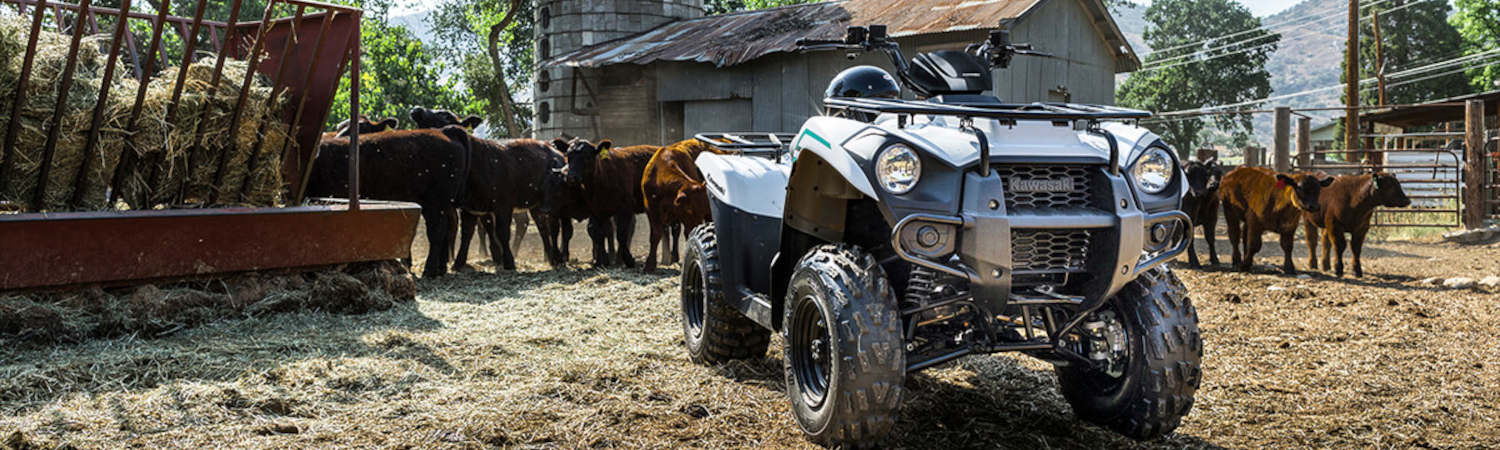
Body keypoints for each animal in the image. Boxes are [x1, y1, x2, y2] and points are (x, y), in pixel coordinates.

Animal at [564, 138, 657, 267]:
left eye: (587, 156)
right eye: (568, 155)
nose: (571, 177)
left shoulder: (625, 209)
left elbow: (621, 234)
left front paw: (629, 260)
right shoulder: (596, 211)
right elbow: (598, 233)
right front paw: (601, 261)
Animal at [639, 138, 720, 270]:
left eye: (702, 210)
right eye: (689, 210)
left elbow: (685, 233)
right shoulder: (651, 210)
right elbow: (655, 235)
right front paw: (650, 265)